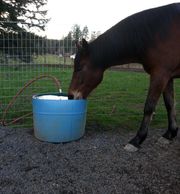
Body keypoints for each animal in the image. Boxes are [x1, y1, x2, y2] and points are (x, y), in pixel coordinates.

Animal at [68, 3, 179, 152]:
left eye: (80, 67)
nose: (70, 95)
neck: (160, 31)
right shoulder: (168, 76)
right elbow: (170, 105)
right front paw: (169, 134)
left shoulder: (160, 75)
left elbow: (149, 107)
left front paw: (137, 140)